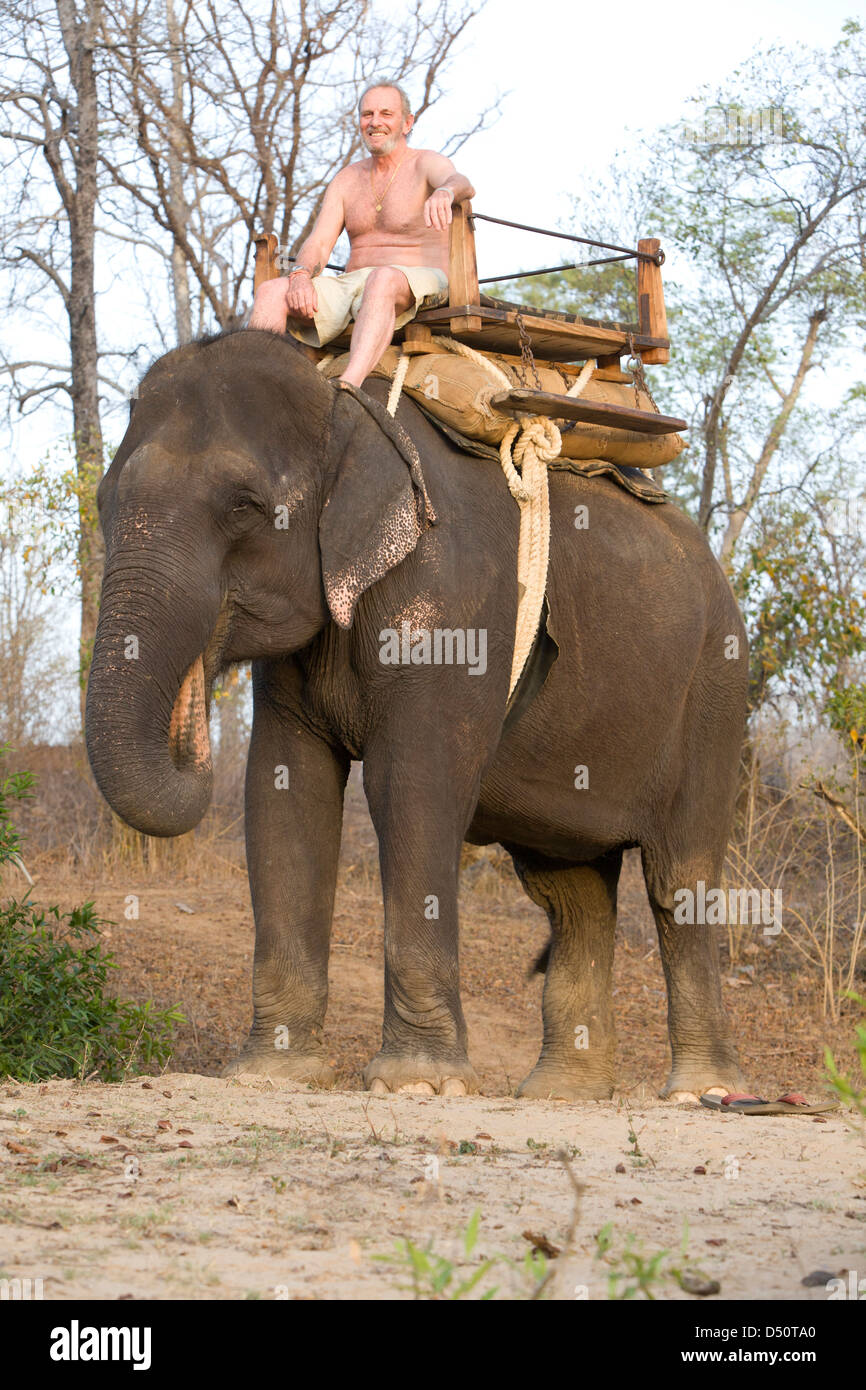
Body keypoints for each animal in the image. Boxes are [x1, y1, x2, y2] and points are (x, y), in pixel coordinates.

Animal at [89, 330, 750, 1100]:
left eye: (244, 506)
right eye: (102, 501)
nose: (190, 724)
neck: (343, 404)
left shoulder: (453, 601)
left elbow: (411, 787)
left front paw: (416, 1084)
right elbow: (286, 791)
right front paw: (270, 1075)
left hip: (714, 689)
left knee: (680, 877)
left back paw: (702, 1091)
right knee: (570, 892)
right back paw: (562, 1093)